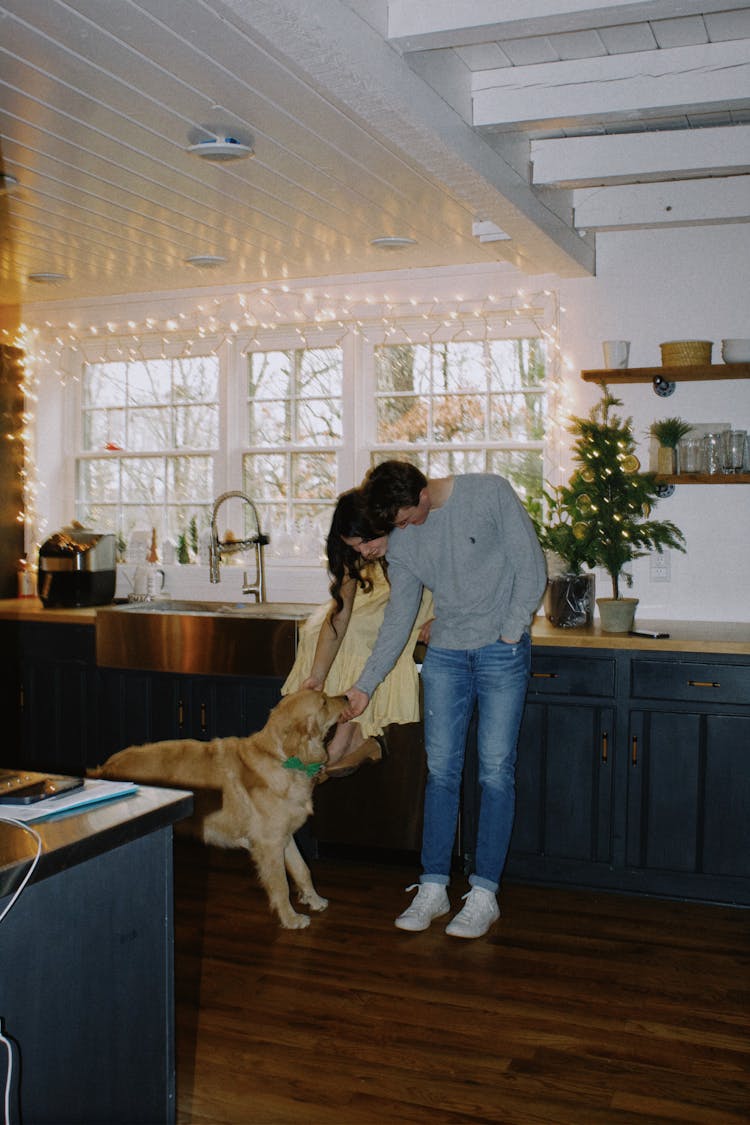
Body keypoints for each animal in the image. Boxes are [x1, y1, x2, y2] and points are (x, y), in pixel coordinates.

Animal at [89, 688, 348, 927]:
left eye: (325, 696)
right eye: (324, 702)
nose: (346, 697)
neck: (282, 758)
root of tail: (105, 768)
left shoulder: (284, 836)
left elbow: (302, 870)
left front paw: (315, 900)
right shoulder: (269, 843)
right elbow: (281, 885)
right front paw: (291, 919)